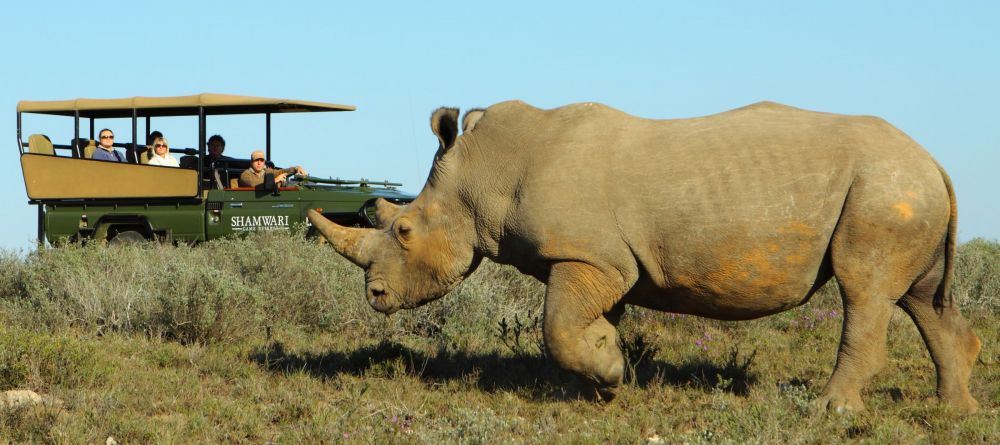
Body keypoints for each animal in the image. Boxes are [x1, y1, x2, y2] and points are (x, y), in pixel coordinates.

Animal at [308, 100, 980, 412]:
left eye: (403, 231)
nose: (376, 297)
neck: (483, 174)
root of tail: (933, 159)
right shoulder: (603, 263)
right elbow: (585, 325)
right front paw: (607, 378)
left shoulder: (587, 258)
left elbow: (557, 328)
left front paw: (606, 376)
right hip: (902, 189)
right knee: (921, 298)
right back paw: (954, 408)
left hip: (884, 189)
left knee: (864, 291)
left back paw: (831, 410)